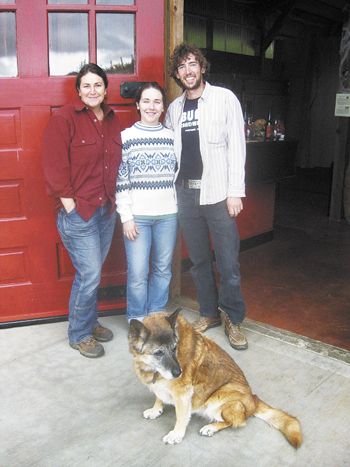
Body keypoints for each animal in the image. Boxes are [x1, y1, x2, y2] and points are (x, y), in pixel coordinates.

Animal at [127, 308, 302, 448]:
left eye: (174, 348)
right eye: (158, 353)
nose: (179, 373)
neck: (151, 368)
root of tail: (254, 399)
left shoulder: (183, 394)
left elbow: (181, 417)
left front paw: (176, 434)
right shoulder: (159, 384)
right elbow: (158, 396)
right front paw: (156, 409)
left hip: (217, 400)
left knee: (236, 422)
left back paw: (211, 427)